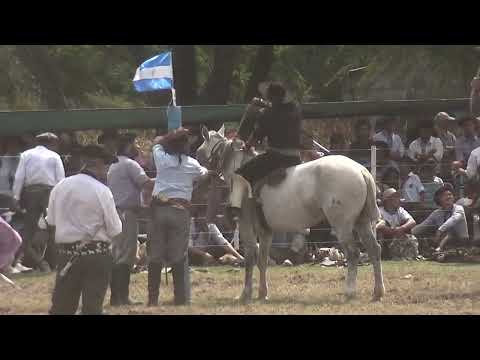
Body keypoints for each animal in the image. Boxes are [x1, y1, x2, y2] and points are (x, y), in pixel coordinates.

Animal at [195, 125, 382, 302]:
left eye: (198, 153)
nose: (200, 181)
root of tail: (360, 170)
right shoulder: (265, 232)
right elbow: (262, 260)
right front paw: (262, 293)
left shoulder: (247, 226)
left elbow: (250, 258)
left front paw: (245, 294)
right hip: (362, 222)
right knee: (374, 249)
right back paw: (378, 291)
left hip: (342, 225)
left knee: (353, 253)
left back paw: (350, 291)